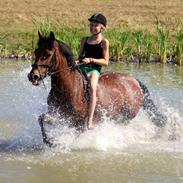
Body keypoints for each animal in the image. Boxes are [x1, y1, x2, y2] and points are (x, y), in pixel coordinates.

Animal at [27, 31, 167, 146]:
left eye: (47, 54)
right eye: (36, 52)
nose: (33, 76)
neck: (68, 88)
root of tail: (134, 81)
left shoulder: (78, 122)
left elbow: (76, 134)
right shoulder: (58, 114)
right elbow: (41, 119)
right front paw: (50, 141)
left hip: (126, 116)